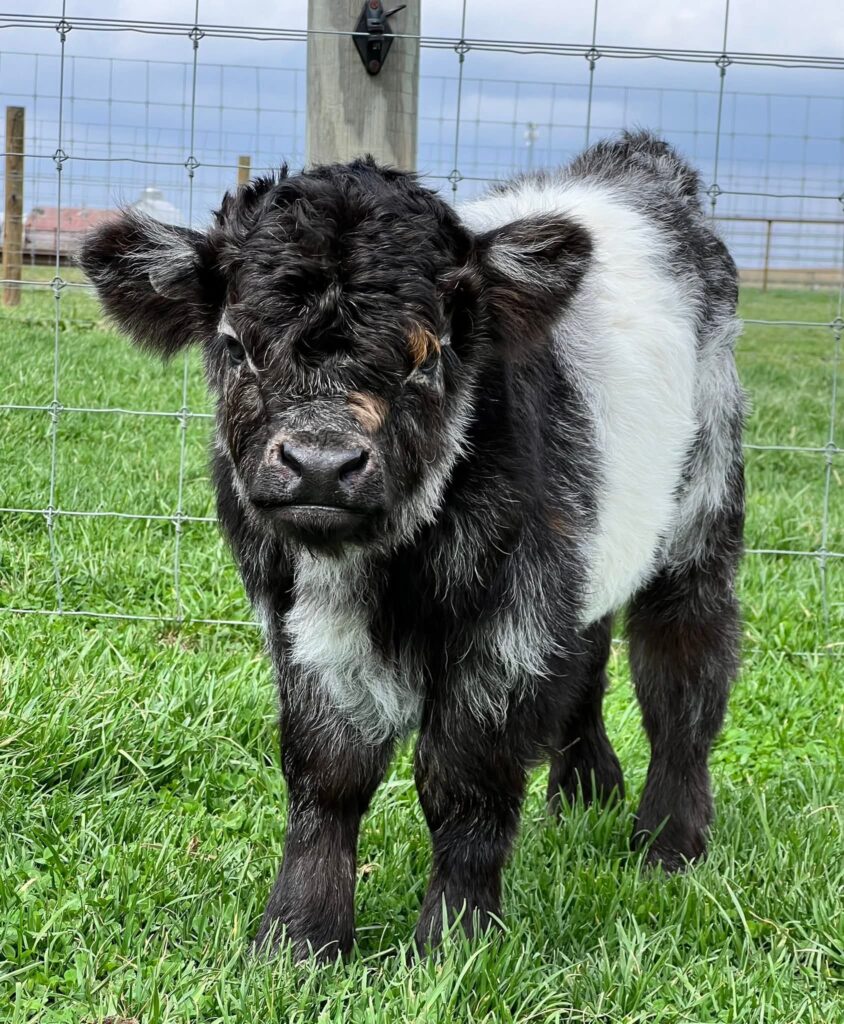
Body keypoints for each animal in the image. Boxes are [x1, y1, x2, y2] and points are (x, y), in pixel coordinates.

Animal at [79, 131, 745, 961]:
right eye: (235, 345)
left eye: (430, 356)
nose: (321, 462)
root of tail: (640, 165)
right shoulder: (299, 627)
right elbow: (325, 773)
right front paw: (297, 940)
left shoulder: (507, 629)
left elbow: (461, 780)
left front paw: (455, 941)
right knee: (591, 653)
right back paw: (585, 794)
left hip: (702, 507)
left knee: (684, 670)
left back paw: (668, 843)